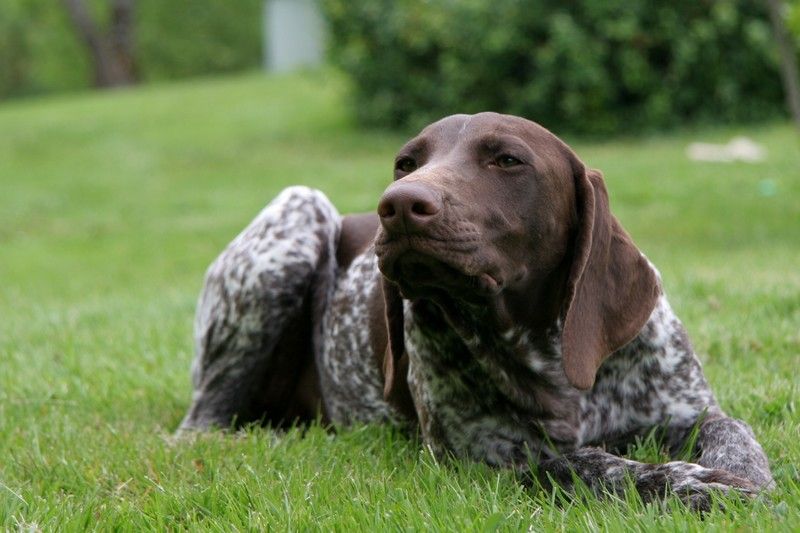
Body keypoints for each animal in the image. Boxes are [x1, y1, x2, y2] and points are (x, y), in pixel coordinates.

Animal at [178, 111, 772, 508]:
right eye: (405, 163)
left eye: (507, 159)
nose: (399, 204)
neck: (544, 347)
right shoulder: (480, 460)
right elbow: (581, 462)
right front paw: (688, 482)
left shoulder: (686, 409)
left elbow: (731, 428)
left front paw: (743, 472)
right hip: (300, 211)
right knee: (199, 425)